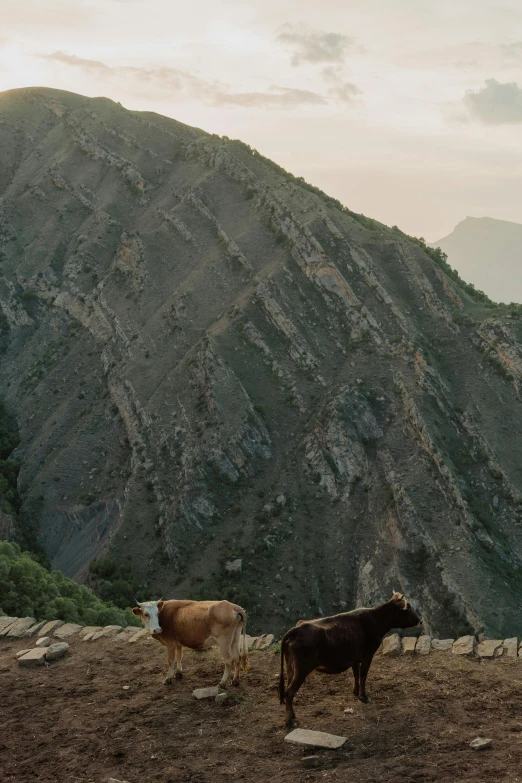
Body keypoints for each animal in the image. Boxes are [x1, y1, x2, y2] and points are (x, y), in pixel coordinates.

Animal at [276, 596, 418, 728]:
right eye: (408, 608)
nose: (419, 620)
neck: (375, 619)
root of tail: (298, 628)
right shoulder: (367, 655)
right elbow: (363, 675)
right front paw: (364, 697)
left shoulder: (355, 658)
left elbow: (356, 674)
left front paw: (356, 692)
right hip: (302, 669)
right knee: (289, 692)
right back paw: (289, 722)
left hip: (290, 667)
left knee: (288, 688)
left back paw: (292, 715)